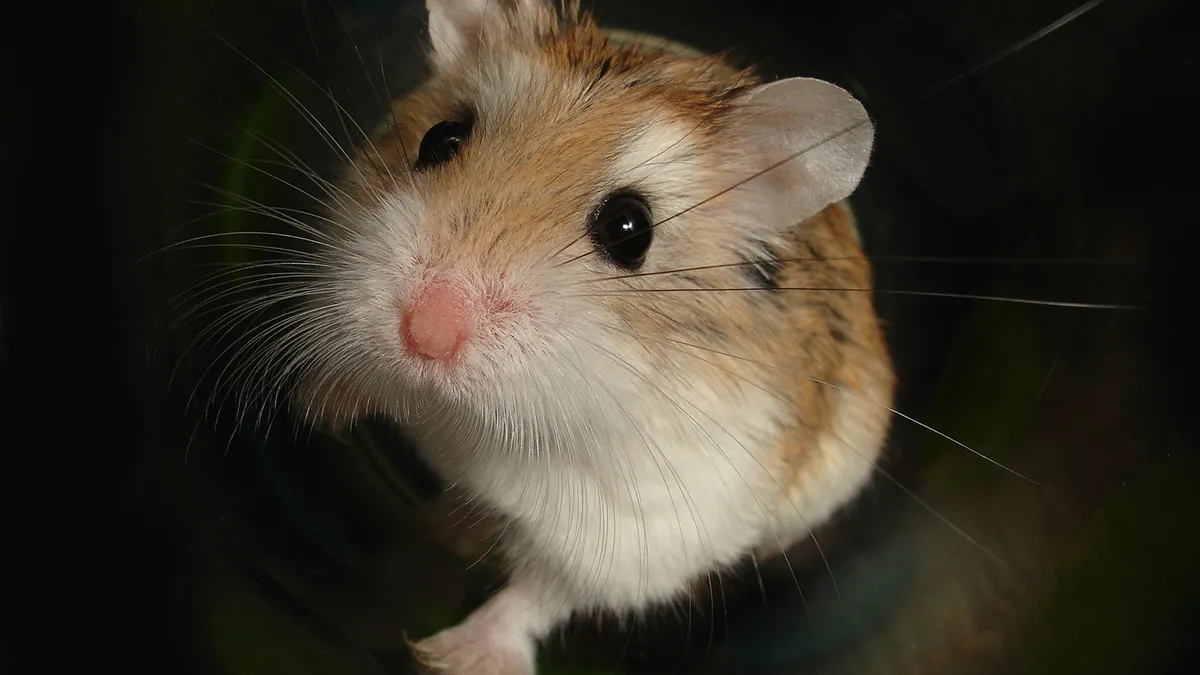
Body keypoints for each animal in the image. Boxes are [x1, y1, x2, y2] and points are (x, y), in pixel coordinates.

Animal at [289, 0, 896, 672]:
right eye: (439, 140)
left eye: (630, 230)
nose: (425, 333)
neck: (470, 416)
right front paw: (318, 408)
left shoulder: (632, 538)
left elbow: (536, 596)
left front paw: (451, 658)